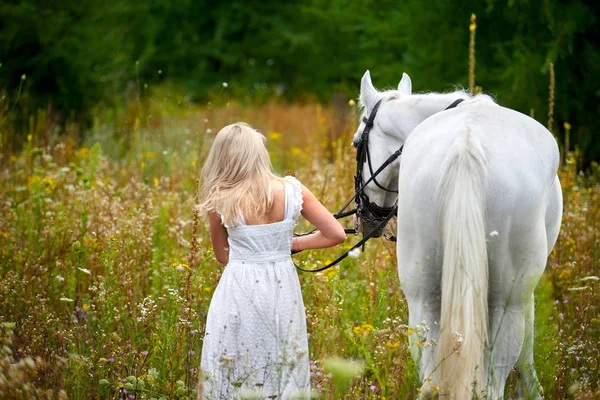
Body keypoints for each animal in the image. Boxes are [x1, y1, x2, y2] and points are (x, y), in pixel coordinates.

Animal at [352, 72, 564, 400]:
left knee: (430, 380)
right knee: (492, 383)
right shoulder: (524, 293)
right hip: (507, 300)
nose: (365, 216)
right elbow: (526, 354)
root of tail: (467, 141)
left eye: (355, 143)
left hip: (422, 292)